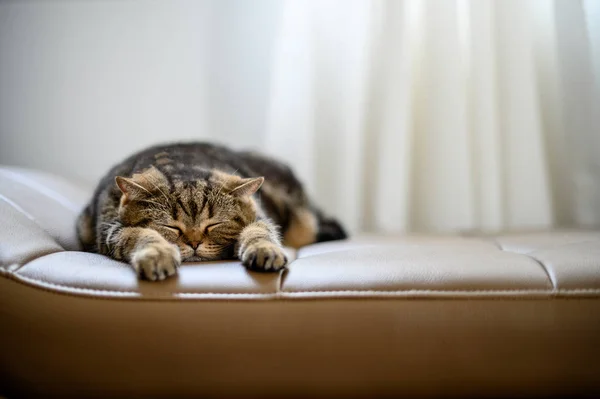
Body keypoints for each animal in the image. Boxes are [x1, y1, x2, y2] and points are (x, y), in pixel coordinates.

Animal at [77, 142, 346, 282]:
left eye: (213, 225)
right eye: (171, 227)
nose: (194, 243)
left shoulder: (260, 218)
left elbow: (259, 232)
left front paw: (264, 250)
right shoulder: (112, 230)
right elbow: (140, 235)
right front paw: (158, 254)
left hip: (305, 224)